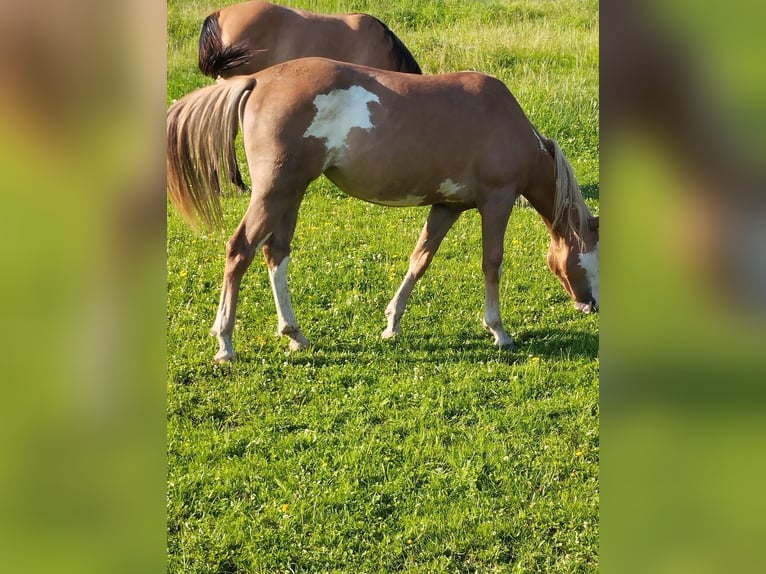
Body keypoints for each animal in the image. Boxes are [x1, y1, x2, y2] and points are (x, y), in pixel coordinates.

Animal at [167, 57, 599, 363]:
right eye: (594, 257)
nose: (590, 305)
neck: (508, 123)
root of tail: (259, 79)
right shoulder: (498, 200)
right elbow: (491, 262)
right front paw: (499, 331)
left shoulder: (448, 206)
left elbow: (420, 259)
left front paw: (392, 323)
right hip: (273, 193)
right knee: (239, 251)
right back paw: (225, 343)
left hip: (290, 193)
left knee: (276, 254)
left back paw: (295, 335)